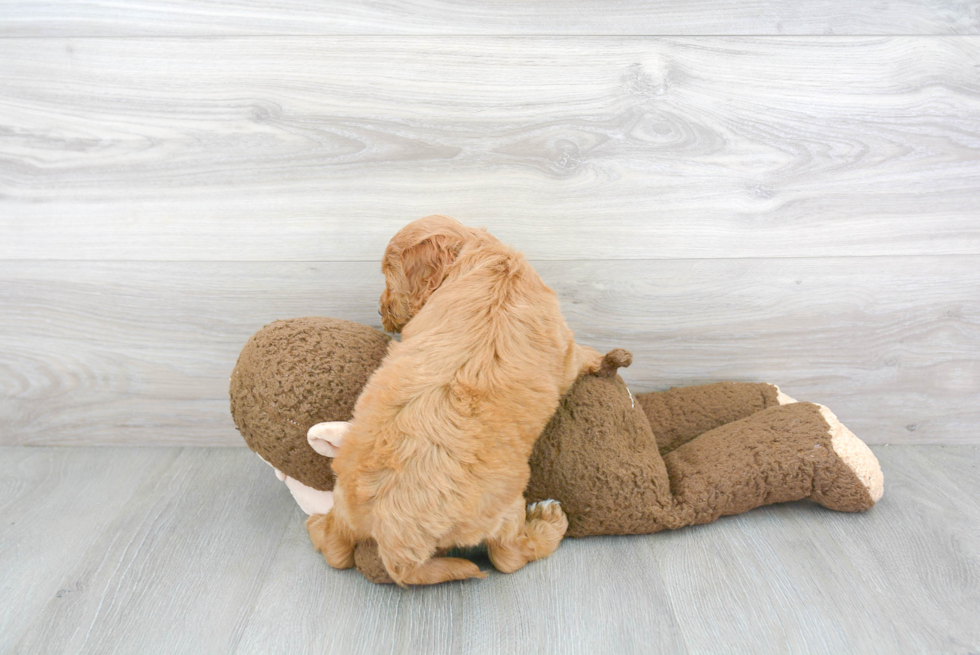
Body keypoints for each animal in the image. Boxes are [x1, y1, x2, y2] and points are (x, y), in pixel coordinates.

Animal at [304, 218, 604, 588]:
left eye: (388, 275)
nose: (380, 310)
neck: (488, 257)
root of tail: (393, 540)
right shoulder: (564, 350)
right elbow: (579, 356)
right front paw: (600, 359)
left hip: (343, 499)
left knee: (336, 548)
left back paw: (316, 525)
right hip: (505, 506)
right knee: (508, 556)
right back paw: (549, 522)